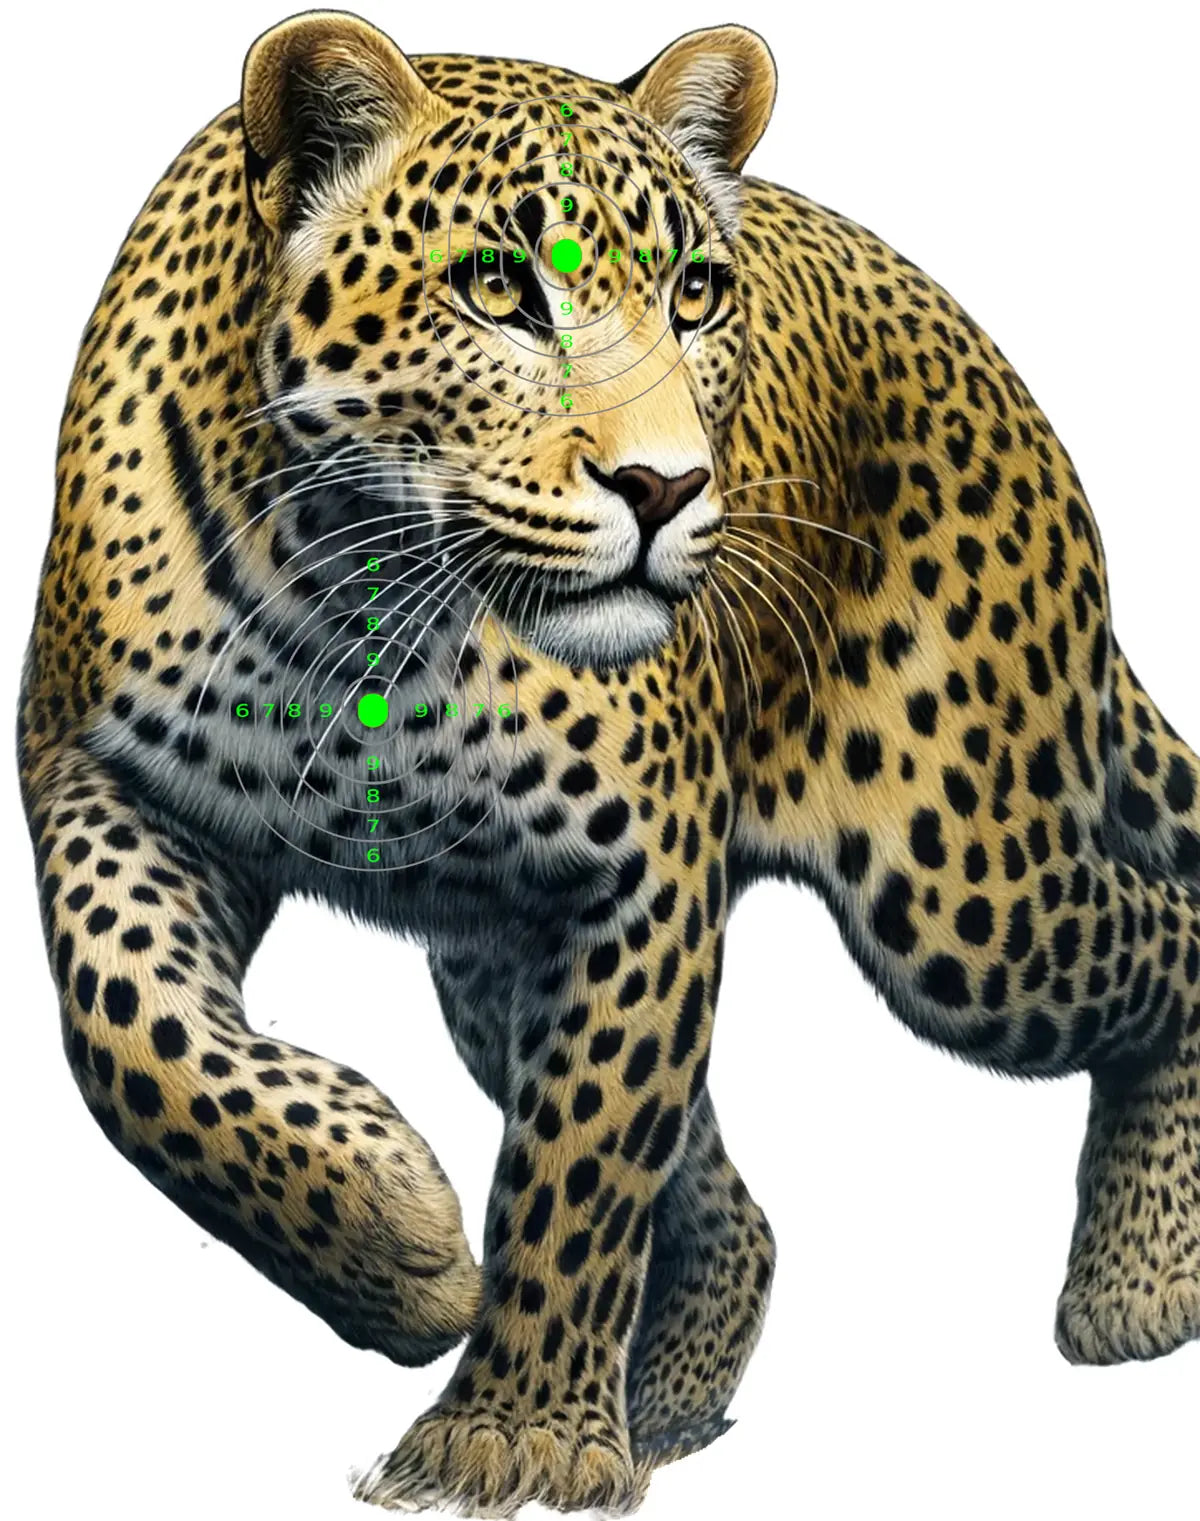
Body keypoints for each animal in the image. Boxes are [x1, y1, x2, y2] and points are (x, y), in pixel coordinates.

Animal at [19, 10, 1199, 1516]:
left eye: (696, 294)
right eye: (497, 288)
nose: (669, 486)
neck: (356, 605)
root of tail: (1002, 375)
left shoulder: (643, 870)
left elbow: (582, 1160)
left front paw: (508, 1439)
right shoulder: (102, 778)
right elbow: (126, 1032)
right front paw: (397, 1241)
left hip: (963, 897)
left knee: (1171, 934)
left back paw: (1141, 1279)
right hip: (495, 968)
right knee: (736, 1208)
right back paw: (667, 1406)